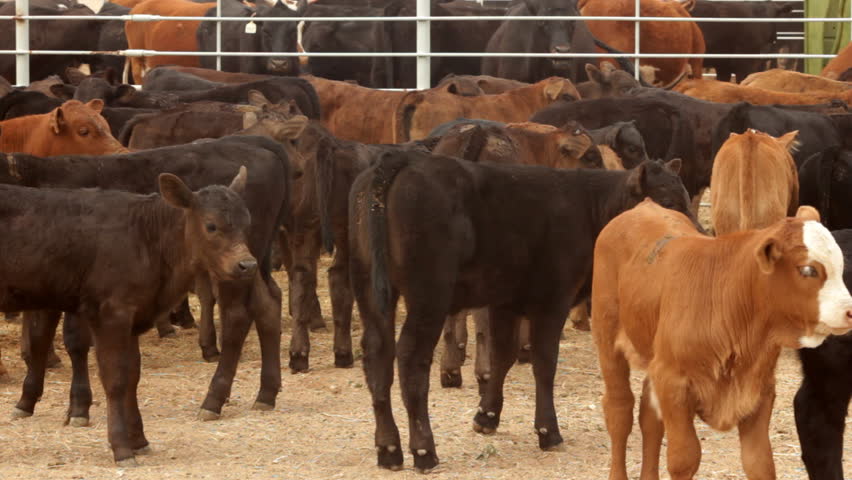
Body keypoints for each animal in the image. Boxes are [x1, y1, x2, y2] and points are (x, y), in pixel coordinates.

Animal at [2, 135, 290, 432]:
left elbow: (74, 341)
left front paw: (79, 405)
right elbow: (40, 338)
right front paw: (27, 399)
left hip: (234, 269)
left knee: (236, 318)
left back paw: (214, 400)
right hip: (253, 265)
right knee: (268, 305)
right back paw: (266, 393)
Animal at [350, 152, 696, 470]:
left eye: (685, 197)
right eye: (666, 201)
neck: (587, 207)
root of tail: (403, 158)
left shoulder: (506, 301)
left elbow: (502, 356)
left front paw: (486, 416)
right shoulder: (552, 300)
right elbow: (544, 364)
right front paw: (548, 431)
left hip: (370, 293)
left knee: (377, 357)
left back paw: (389, 450)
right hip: (428, 297)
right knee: (410, 359)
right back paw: (423, 450)